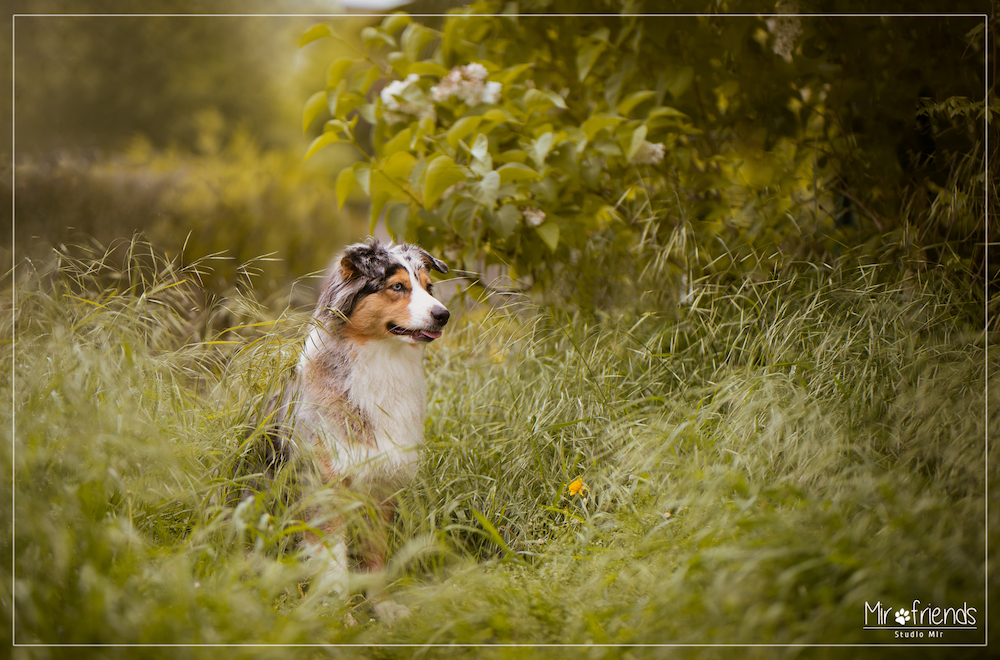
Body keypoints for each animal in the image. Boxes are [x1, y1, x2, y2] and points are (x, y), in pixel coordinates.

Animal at [258, 236, 450, 620]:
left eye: (428, 286)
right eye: (397, 287)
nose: (443, 314)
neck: (382, 362)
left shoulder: (380, 486)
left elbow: (375, 555)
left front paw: (383, 607)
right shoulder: (325, 490)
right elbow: (334, 566)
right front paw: (338, 616)